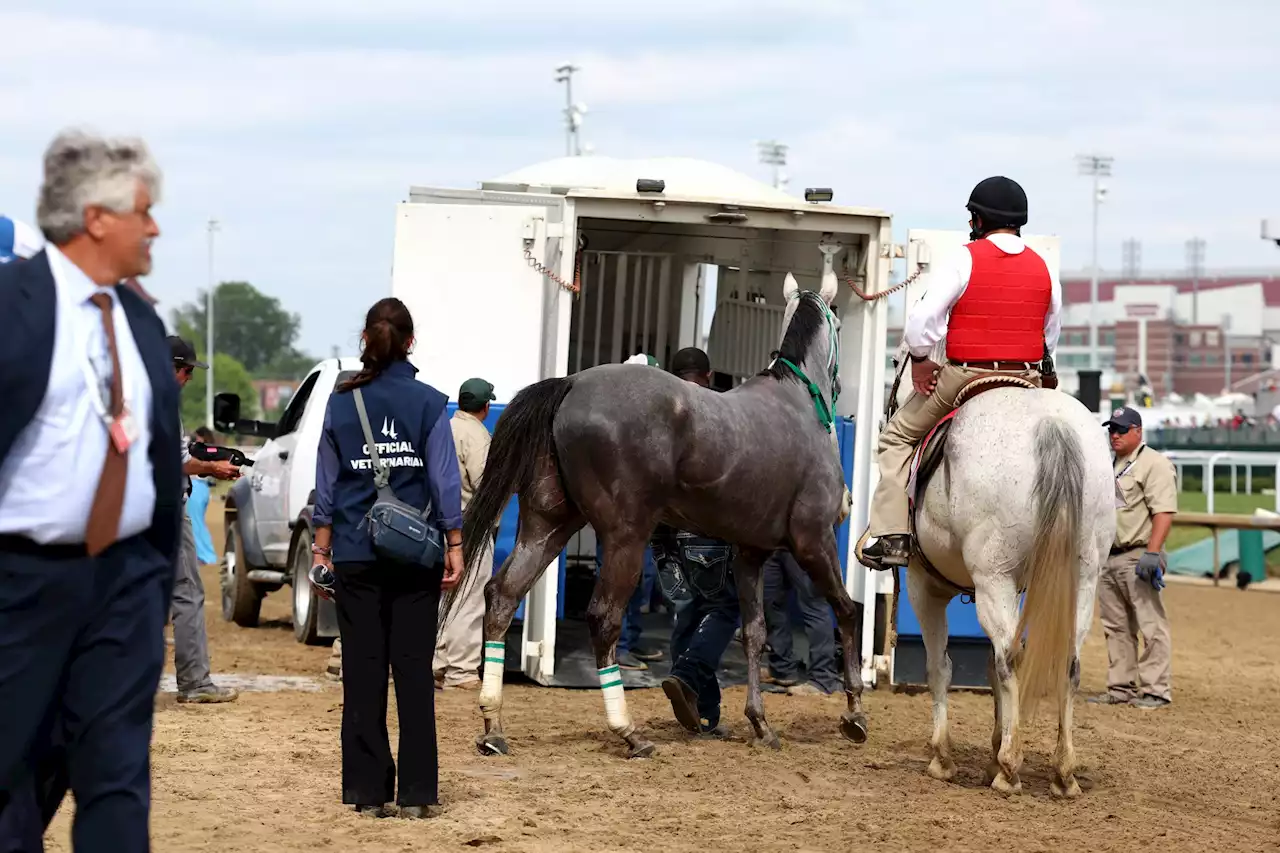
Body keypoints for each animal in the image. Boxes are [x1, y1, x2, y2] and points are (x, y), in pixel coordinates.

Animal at [453, 268, 870, 753]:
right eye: (838, 323)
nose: (839, 387)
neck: (798, 401)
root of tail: (570, 384)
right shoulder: (813, 542)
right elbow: (847, 610)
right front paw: (854, 713)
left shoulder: (750, 552)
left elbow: (754, 632)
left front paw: (761, 723)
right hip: (625, 537)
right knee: (603, 617)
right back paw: (629, 731)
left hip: (548, 526)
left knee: (502, 596)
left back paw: (493, 726)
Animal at [885, 335, 1116, 794]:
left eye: (898, 362)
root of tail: (1051, 426)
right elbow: (988, 666)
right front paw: (992, 751)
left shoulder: (925, 586)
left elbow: (939, 666)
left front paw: (944, 757)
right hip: (1081, 579)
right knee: (1068, 662)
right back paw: (1063, 772)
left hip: (994, 580)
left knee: (1010, 658)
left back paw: (1010, 768)